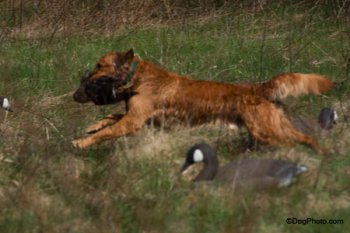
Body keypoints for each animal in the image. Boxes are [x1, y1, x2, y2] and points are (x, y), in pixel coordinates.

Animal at [72, 48, 334, 153]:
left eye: (99, 66)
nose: (76, 94)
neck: (139, 78)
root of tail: (259, 88)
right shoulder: (140, 118)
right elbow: (110, 118)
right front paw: (92, 126)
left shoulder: (134, 121)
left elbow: (106, 133)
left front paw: (80, 142)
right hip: (277, 125)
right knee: (307, 138)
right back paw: (323, 156)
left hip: (266, 131)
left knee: (292, 145)